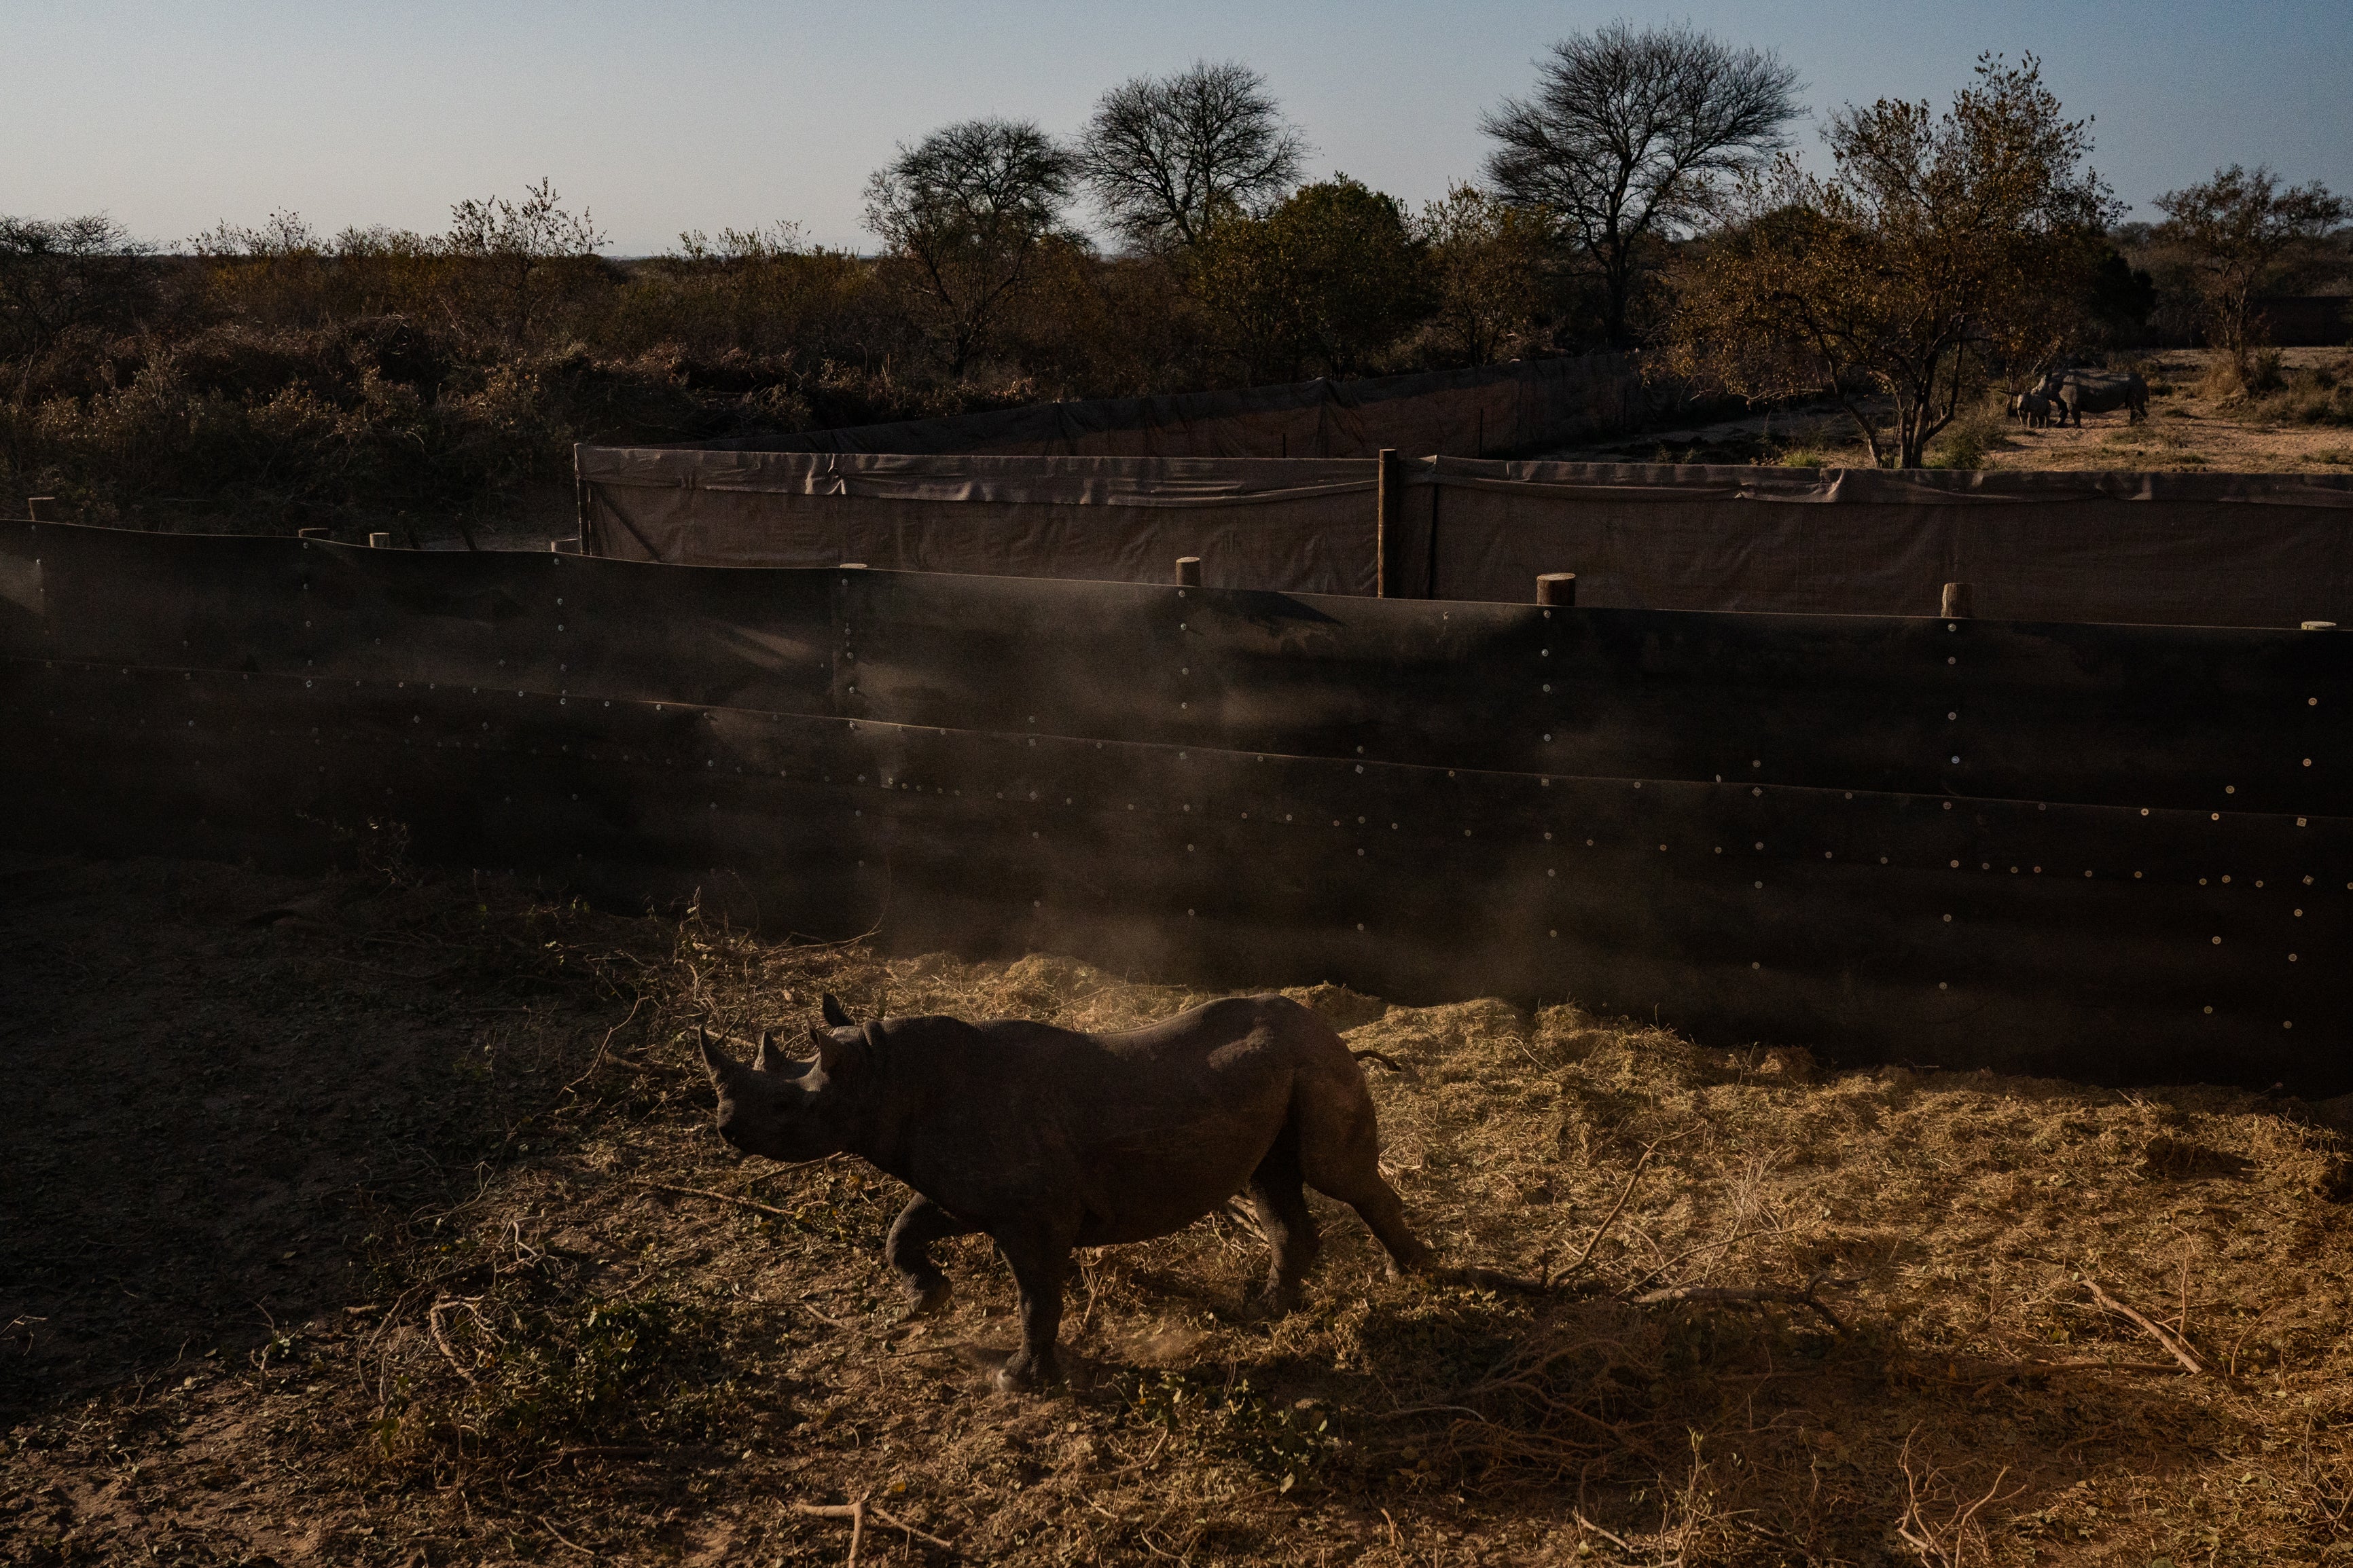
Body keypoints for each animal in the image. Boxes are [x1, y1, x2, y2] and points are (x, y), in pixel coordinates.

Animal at [696, 991, 1431, 1401]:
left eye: (787, 1107)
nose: (726, 1127)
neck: (886, 1078)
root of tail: (1327, 1024)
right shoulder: (968, 1192)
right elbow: (903, 1227)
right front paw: (927, 1301)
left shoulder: (1033, 1214)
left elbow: (1035, 1295)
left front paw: (1018, 1381)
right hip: (1282, 1071)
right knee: (1271, 1180)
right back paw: (1267, 1309)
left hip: (1314, 1059)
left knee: (1336, 1175)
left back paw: (1414, 1276)